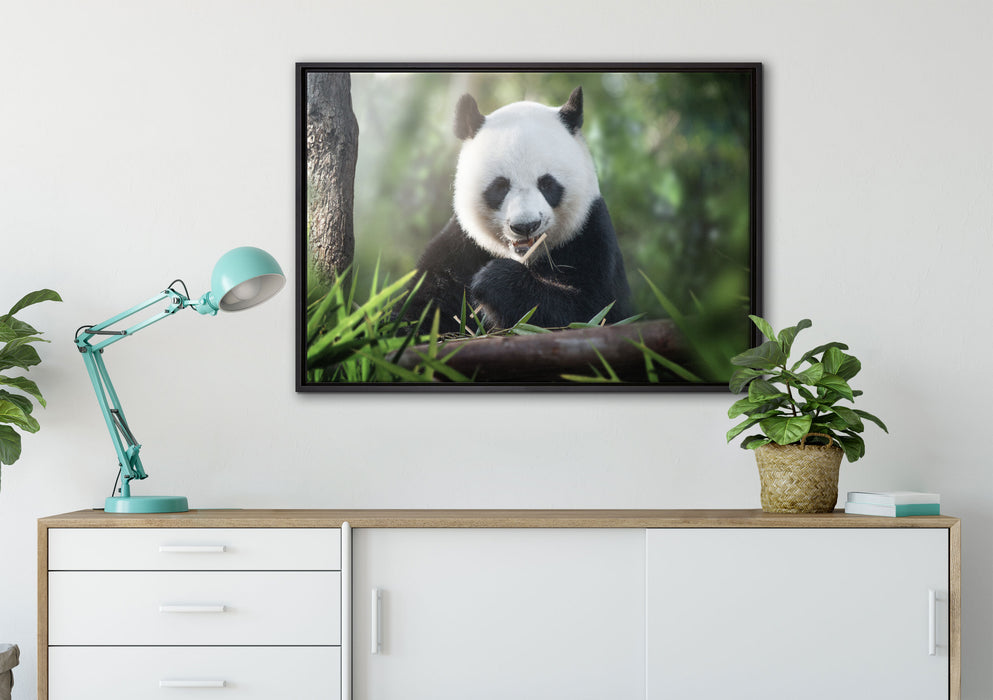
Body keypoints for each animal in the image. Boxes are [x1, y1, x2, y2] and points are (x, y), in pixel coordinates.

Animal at [408, 86, 632, 334]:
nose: (526, 226)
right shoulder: (462, 247)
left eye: (547, 184)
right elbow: (422, 305)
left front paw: (494, 281)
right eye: (500, 186)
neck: (525, 257)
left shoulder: (589, 236)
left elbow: (590, 312)